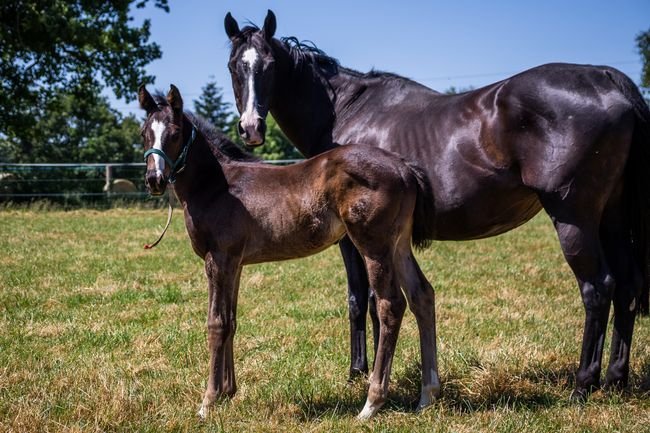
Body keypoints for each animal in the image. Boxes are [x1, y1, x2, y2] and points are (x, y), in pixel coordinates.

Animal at [139, 84, 440, 419]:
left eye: (175, 133)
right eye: (144, 133)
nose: (154, 180)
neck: (216, 186)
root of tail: (403, 167)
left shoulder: (217, 258)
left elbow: (216, 323)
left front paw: (209, 401)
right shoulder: (235, 263)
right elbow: (231, 320)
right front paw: (229, 392)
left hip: (374, 245)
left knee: (391, 305)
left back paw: (372, 403)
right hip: (399, 244)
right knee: (422, 295)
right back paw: (427, 395)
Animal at [223, 10, 650, 401]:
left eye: (270, 66)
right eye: (234, 66)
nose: (251, 129)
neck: (346, 113)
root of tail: (606, 79)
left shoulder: (353, 240)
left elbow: (363, 300)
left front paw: (362, 373)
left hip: (574, 219)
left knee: (598, 288)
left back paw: (583, 385)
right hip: (611, 220)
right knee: (627, 287)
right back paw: (615, 380)